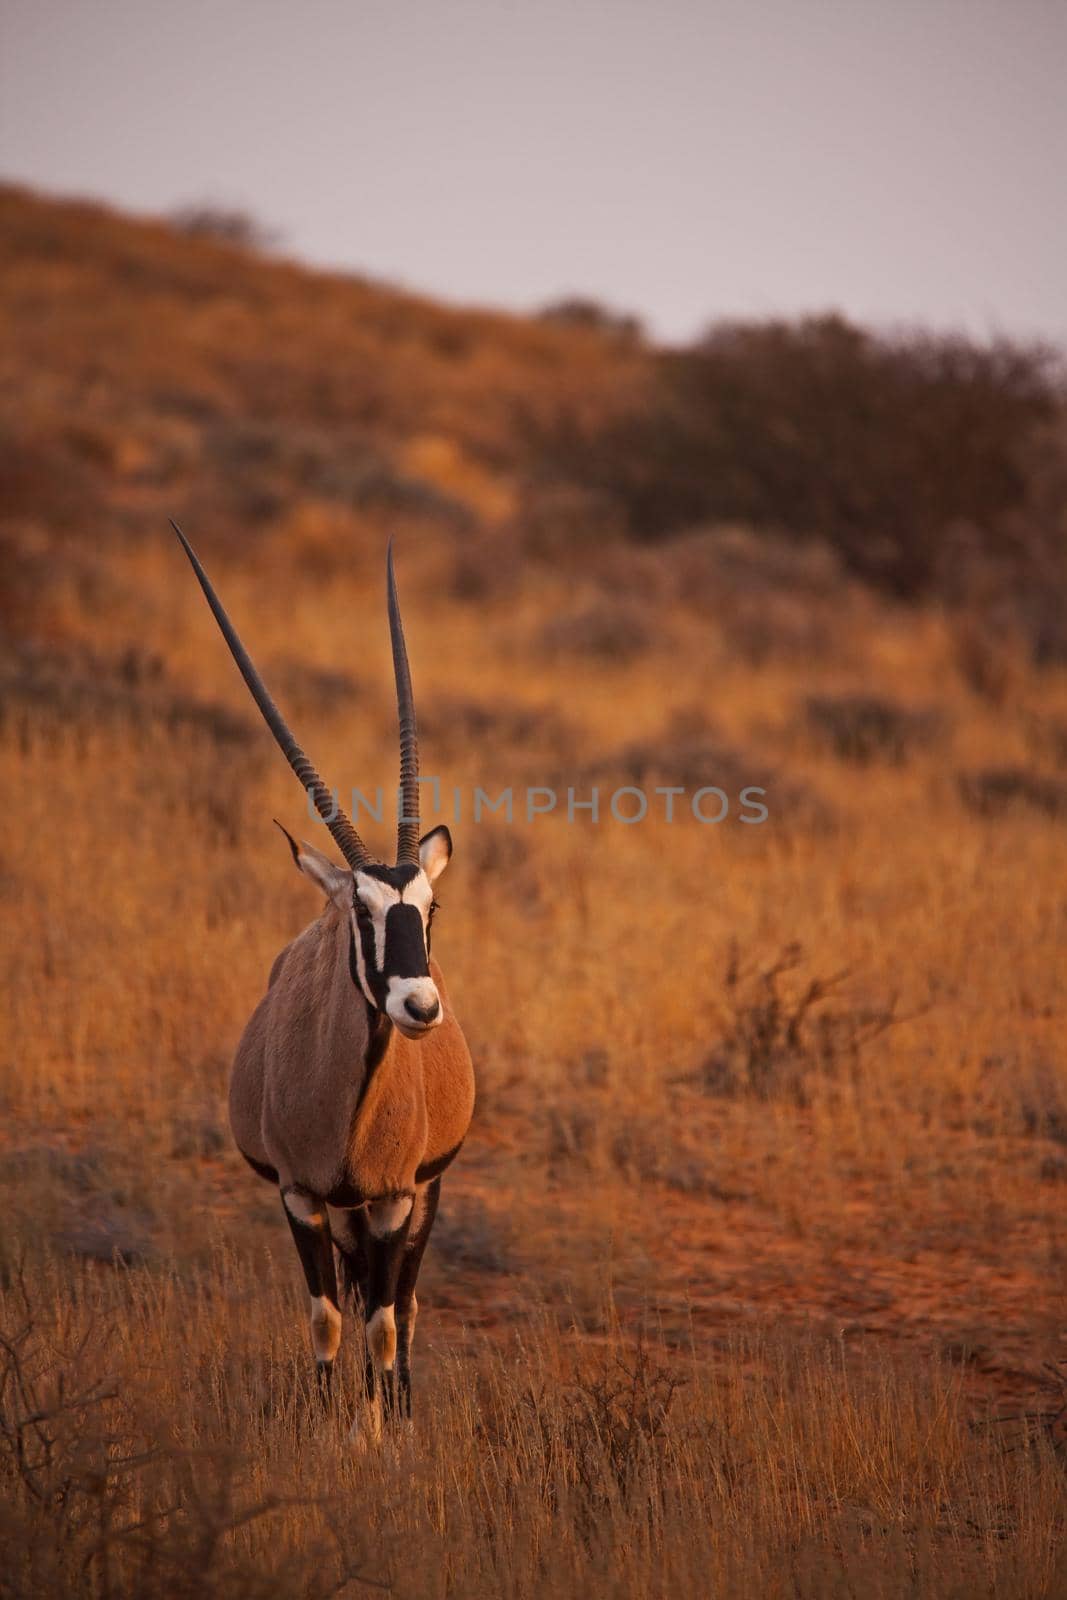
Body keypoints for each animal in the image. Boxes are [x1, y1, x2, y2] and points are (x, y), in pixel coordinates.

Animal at [175, 528, 476, 1440]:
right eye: (362, 912)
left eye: (428, 906)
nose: (419, 1005)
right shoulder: (301, 1196)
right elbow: (327, 1318)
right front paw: (326, 1424)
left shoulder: (392, 1199)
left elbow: (380, 1320)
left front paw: (378, 1433)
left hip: (423, 1194)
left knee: (402, 1302)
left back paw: (400, 1403)